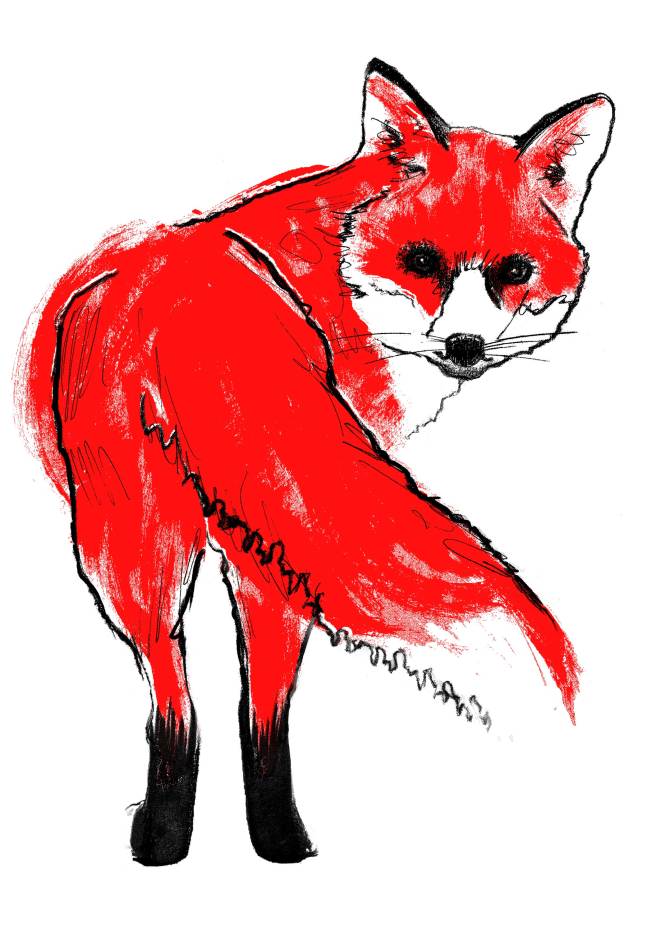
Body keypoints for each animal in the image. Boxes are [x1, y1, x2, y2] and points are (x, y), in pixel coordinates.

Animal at [15, 58, 613, 866]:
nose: (463, 345)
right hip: (161, 542)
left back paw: (237, 837)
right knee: (191, 701)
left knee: (202, 698)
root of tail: (180, 290)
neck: (334, 270)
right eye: (420, 261)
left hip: (161, 540)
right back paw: (207, 839)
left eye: (514, 270)